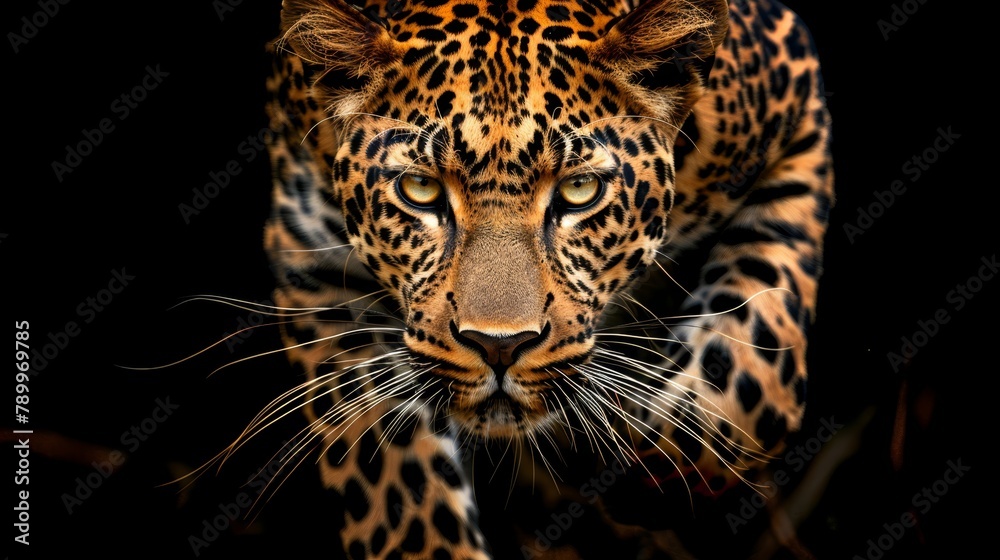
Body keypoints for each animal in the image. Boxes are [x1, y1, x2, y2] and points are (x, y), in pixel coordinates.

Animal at [252, 0, 836, 556]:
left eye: (580, 190)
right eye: (420, 189)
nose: (499, 347)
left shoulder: (798, 96)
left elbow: (756, 354)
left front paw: (650, 469)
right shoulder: (314, 268)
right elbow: (392, 480)